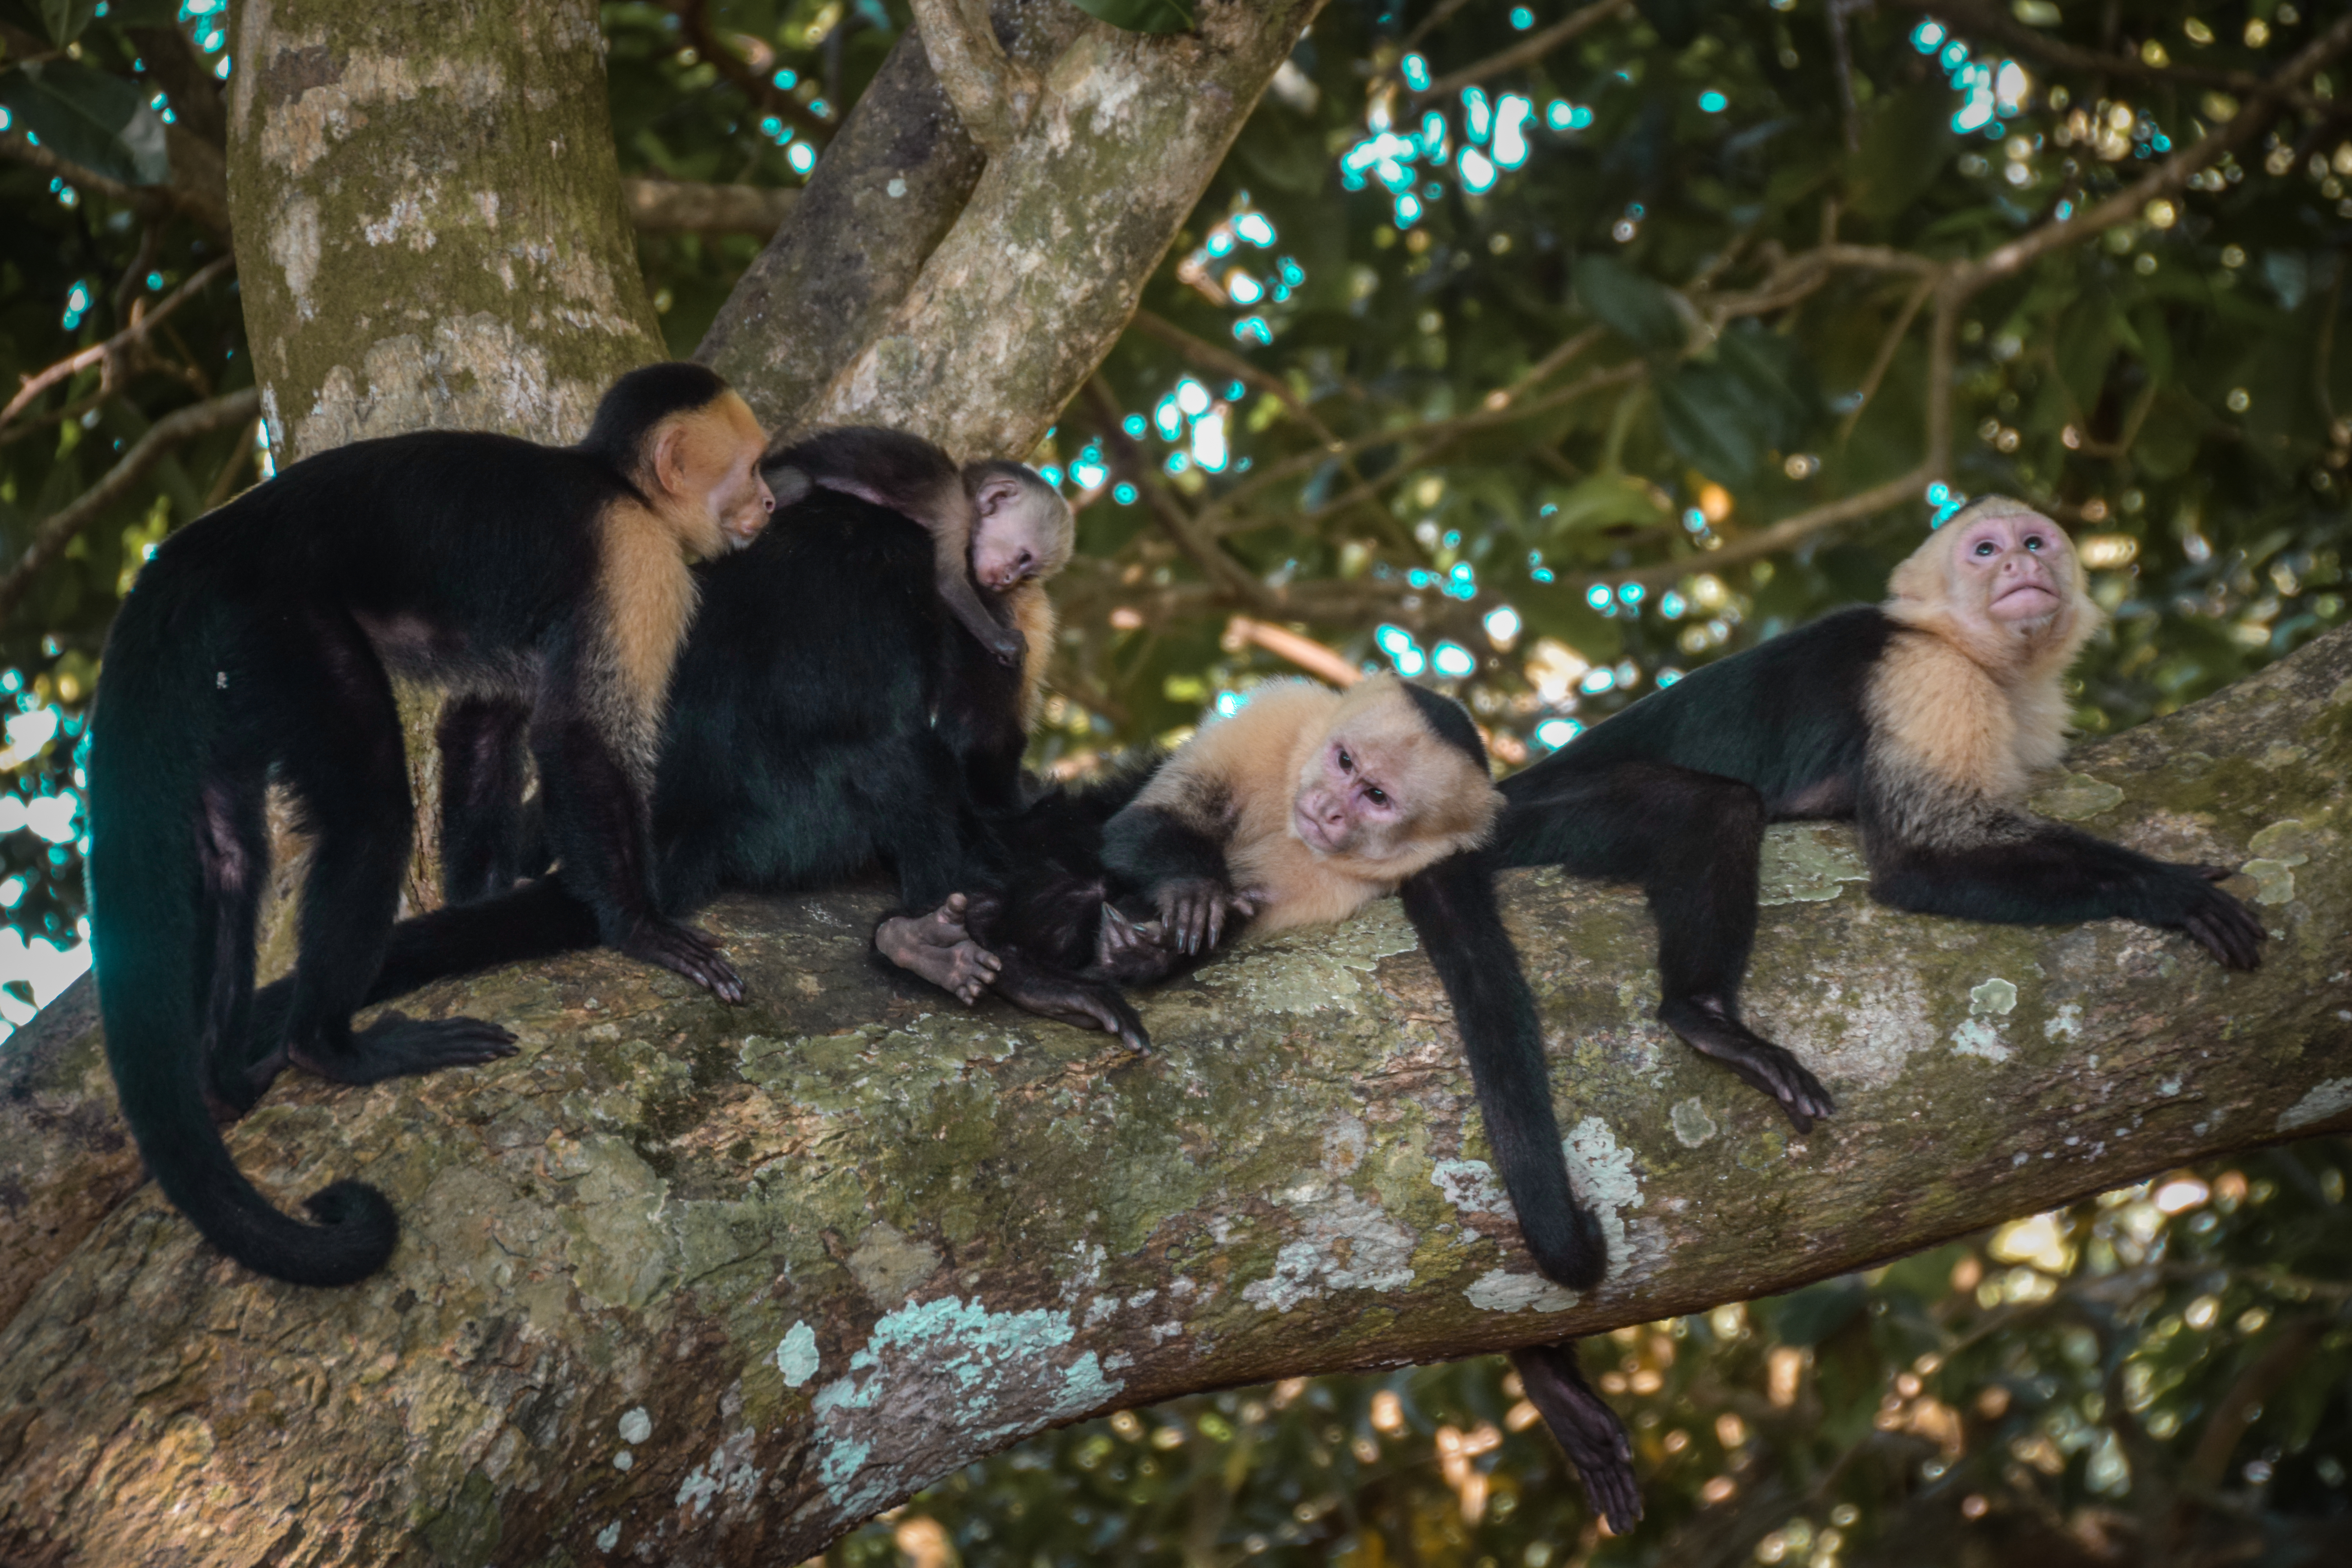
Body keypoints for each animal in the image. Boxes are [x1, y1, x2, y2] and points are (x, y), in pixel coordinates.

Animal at [87, 359, 771, 1288]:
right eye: (753, 467)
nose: (770, 500)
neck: (615, 483)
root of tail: (198, 546)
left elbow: (482, 724)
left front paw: (478, 903)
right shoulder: (637, 561)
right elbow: (578, 734)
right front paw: (640, 925)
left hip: (226, 671)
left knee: (232, 852)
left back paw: (224, 1078)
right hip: (281, 623)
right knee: (373, 813)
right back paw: (329, 1050)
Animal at [762, 425, 1077, 672]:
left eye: (1028, 574)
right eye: (1024, 558)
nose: (1009, 580)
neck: (966, 495)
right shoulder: (954, 515)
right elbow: (949, 583)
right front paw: (1003, 642)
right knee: (798, 484)